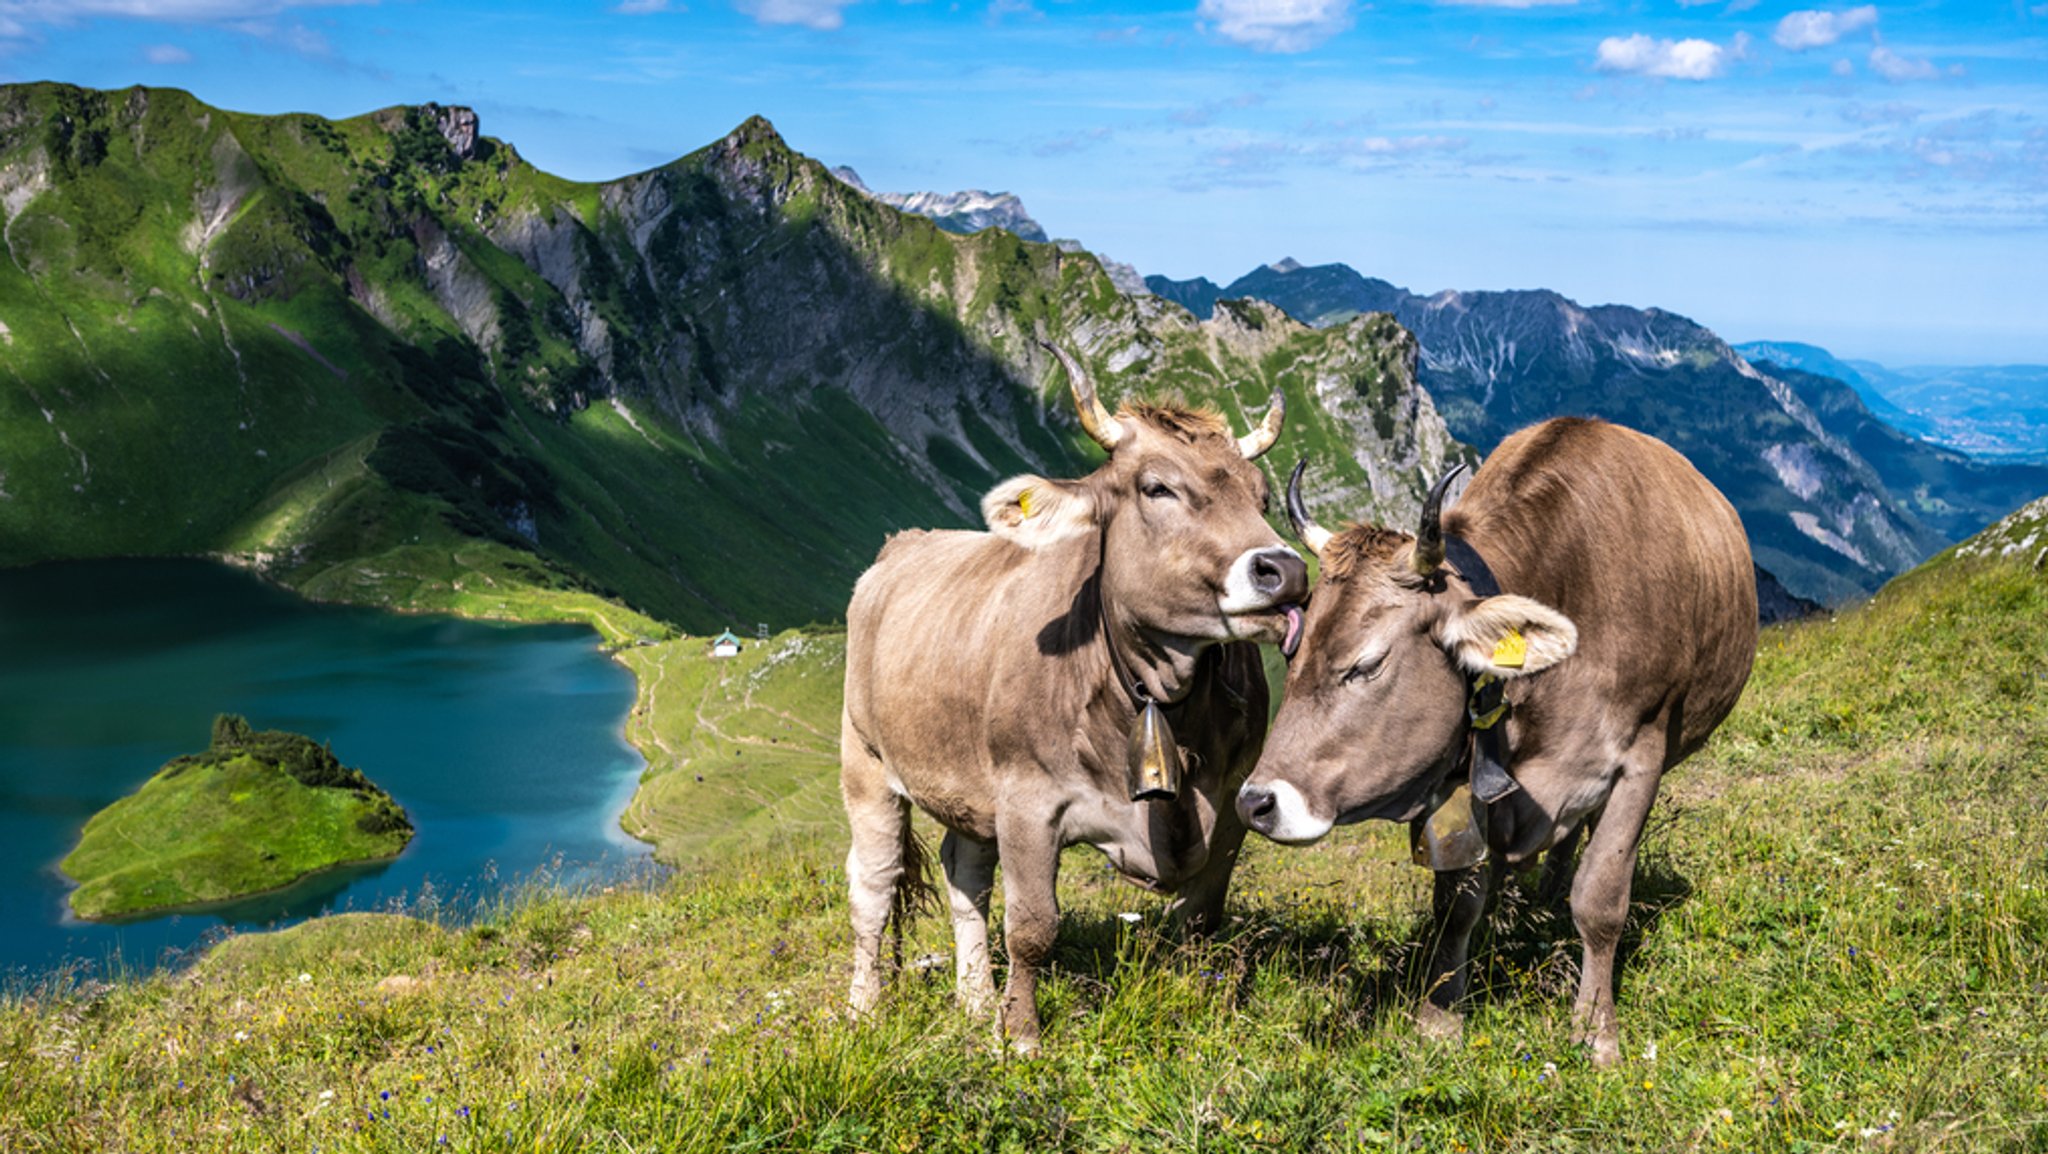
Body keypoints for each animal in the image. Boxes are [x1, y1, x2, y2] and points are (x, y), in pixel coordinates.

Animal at [835, 346, 1302, 1057]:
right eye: (1157, 488)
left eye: (1262, 496)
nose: (1287, 571)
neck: (1157, 696)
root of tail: (903, 544)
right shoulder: (1028, 801)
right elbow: (1033, 926)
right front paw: (1023, 1037)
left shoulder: (1230, 800)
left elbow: (1202, 916)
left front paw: (1200, 1007)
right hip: (864, 761)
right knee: (875, 887)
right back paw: (866, 1008)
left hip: (968, 782)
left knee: (964, 873)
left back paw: (976, 1002)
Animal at [1236, 416, 1753, 1065]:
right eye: (1291, 653)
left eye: (1367, 664)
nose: (1254, 803)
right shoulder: (1464, 781)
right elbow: (1456, 906)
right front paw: (1439, 1017)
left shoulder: (1641, 759)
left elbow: (1601, 901)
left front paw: (1596, 1033)